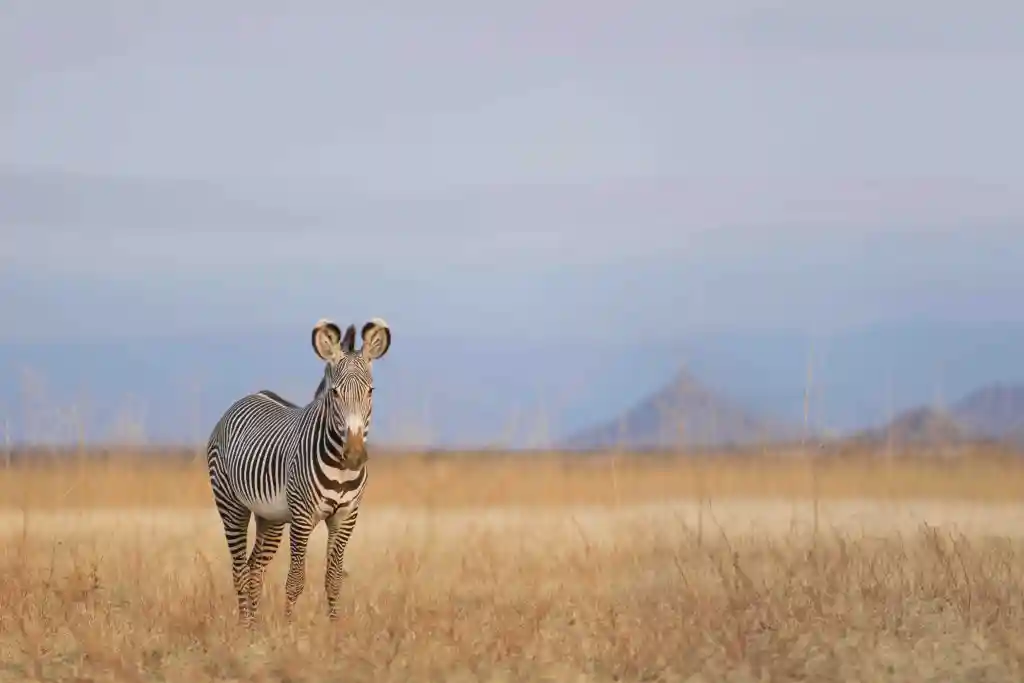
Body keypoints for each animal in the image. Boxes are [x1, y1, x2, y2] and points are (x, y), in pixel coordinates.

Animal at [205, 318, 392, 625]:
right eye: (335, 392)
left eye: (371, 391)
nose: (354, 455)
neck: (341, 469)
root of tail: (249, 395)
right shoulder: (303, 517)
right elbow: (295, 579)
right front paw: (289, 627)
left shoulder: (346, 517)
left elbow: (334, 579)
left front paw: (334, 628)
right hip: (231, 504)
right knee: (239, 570)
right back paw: (243, 627)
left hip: (270, 517)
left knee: (254, 568)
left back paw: (253, 628)